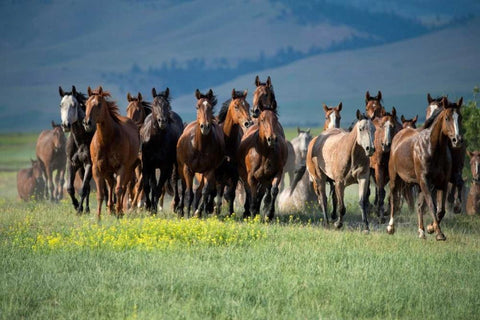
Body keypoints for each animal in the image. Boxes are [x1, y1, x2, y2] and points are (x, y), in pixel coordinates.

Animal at [83, 86, 140, 219]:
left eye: (98, 104)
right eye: (86, 104)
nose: (87, 123)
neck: (107, 141)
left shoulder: (121, 167)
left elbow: (119, 189)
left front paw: (119, 213)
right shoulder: (97, 169)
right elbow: (101, 193)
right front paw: (98, 218)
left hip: (129, 169)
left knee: (123, 187)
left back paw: (119, 210)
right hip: (108, 171)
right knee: (110, 185)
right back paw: (110, 209)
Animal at [141, 86, 184, 214]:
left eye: (167, 105)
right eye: (154, 104)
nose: (162, 121)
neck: (156, 142)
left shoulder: (165, 167)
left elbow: (159, 189)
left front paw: (153, 209)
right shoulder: (147, 164)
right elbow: (148, 186)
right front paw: (149, 206)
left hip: (175, 165)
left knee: (174, 181)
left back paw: (176, 206)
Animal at [388, 97, 464, 240]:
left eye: (460, 117)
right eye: (447, 118)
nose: (457, 140)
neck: (432, 148)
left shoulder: (442, 182)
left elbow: (441, 210)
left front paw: (430, 228)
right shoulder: (425, 180)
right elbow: (432, 206)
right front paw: (439, 234)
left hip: (418, 185)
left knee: (419, 206)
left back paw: (421, 231)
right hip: (395, 178)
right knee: (394, 199)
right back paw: (390, 227)